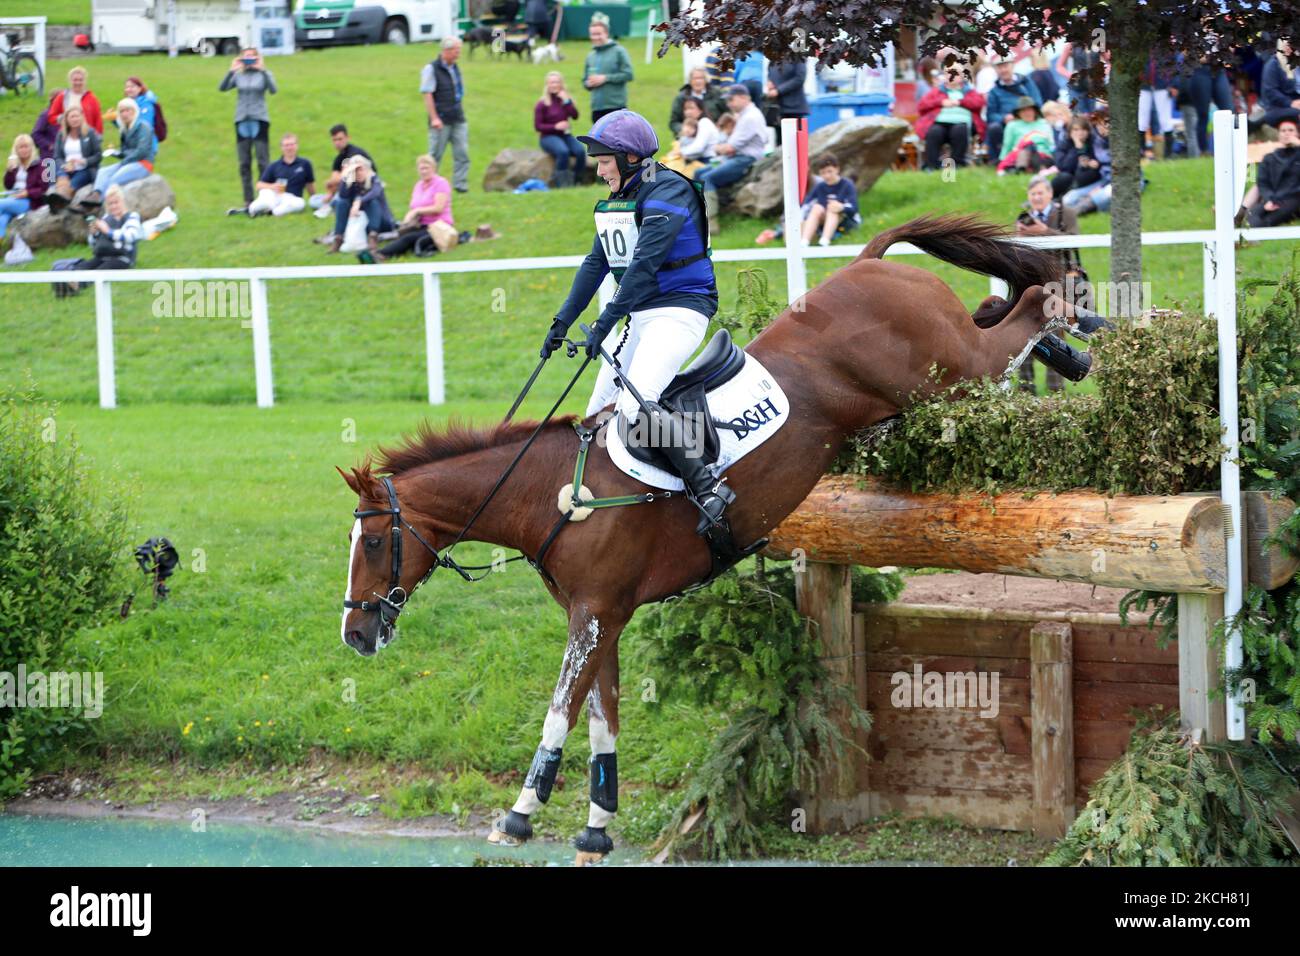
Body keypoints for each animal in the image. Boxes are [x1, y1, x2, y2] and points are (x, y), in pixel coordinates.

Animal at [338, 213, 1076, 863]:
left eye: (372, 544)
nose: (355, 633)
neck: (547, 494)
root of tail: (868, 266)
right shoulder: (603, 614)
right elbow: (602, 718)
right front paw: (597, 828)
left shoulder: (592, 615)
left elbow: (559, 711)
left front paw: (519, 816)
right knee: (996, 323)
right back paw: (1065, 341)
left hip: (951, 375)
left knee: (1011, 329)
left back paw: (1070, 316)